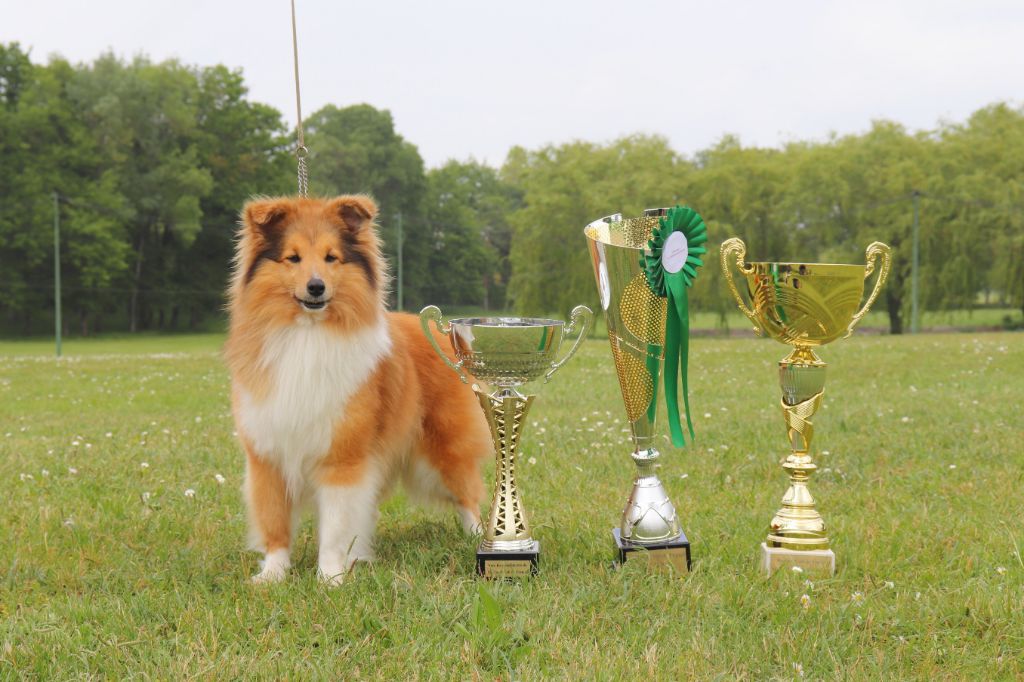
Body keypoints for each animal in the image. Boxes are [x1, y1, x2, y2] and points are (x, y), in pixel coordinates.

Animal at [228, 193, 491, 581]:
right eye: (292, 258)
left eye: (331, 257)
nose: (316, 287)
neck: (308, 334)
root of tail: (445, 337)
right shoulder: (268, 456)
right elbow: (274, 520)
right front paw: (274, 574)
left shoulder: (344, 457)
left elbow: (337, 524)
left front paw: (330, 576)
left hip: (442, 451)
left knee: (468, 494)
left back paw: (478, 537)